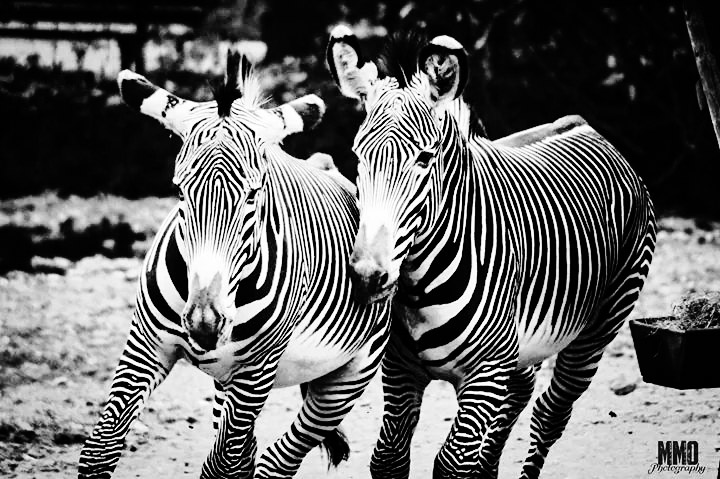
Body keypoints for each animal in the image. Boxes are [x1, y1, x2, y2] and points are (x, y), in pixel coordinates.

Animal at [76, 50, 390, 478]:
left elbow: (221, 464)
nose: (204, 324)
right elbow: (101, 448)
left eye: (253, 194)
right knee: (249, 453)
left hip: (347, 378)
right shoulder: (145, 347)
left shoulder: (257, 371)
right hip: (223, 381)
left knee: (277, 459)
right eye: (179, 191)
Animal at [330, 27, 656, 479]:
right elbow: (389, 457)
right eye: (358, 157)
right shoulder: (400, 369)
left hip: (602, 322)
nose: (365, 276)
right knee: (522, 391)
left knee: (551, 413)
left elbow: (452, 462)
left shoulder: (485, 373)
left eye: (425, 159)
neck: (419, 284)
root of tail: (585, 126)